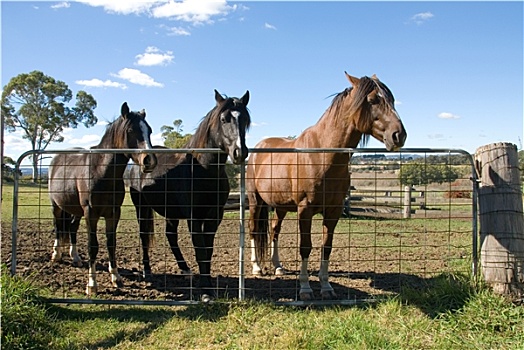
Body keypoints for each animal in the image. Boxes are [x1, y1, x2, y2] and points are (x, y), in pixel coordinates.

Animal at [48, 102, 157, 296]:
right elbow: (93, 246)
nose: (149, 160)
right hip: (57, 206)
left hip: (76, 211)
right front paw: (92, 284)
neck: (101, 172)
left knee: (71, 228)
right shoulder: (91, 214)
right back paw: (56, 255)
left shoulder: (113, 213)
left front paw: (116, 278)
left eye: (149, 130)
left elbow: (111, 244)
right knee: (58, 228)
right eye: (130, 130)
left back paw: (75, 257)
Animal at [126, 89, 251, 300]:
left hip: (171, 213)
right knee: (143, 236)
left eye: (245, 120)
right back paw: (147, 270)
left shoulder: (214, 216)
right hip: (141, 207)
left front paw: (207, 285)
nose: (239, 152)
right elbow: (200, 251)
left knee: (170, 236)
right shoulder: (194, 217)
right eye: (224, 119)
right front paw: (206, 291)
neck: (203, 169)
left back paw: (185, 269)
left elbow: (207, 251)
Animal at [247, 72, 410, 300]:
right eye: (372, 100)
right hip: (255, 201)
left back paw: (278, 266)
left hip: (280, 206)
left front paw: (326, 287)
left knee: (274, 231)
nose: (399, 135)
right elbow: (305, 247)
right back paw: (257, 268)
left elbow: (326, 247)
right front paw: (305, 288)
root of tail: (257, 149)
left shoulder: (333, 211)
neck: (322, 155)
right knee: (254, 230)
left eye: (393, 100)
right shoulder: (304, 210)